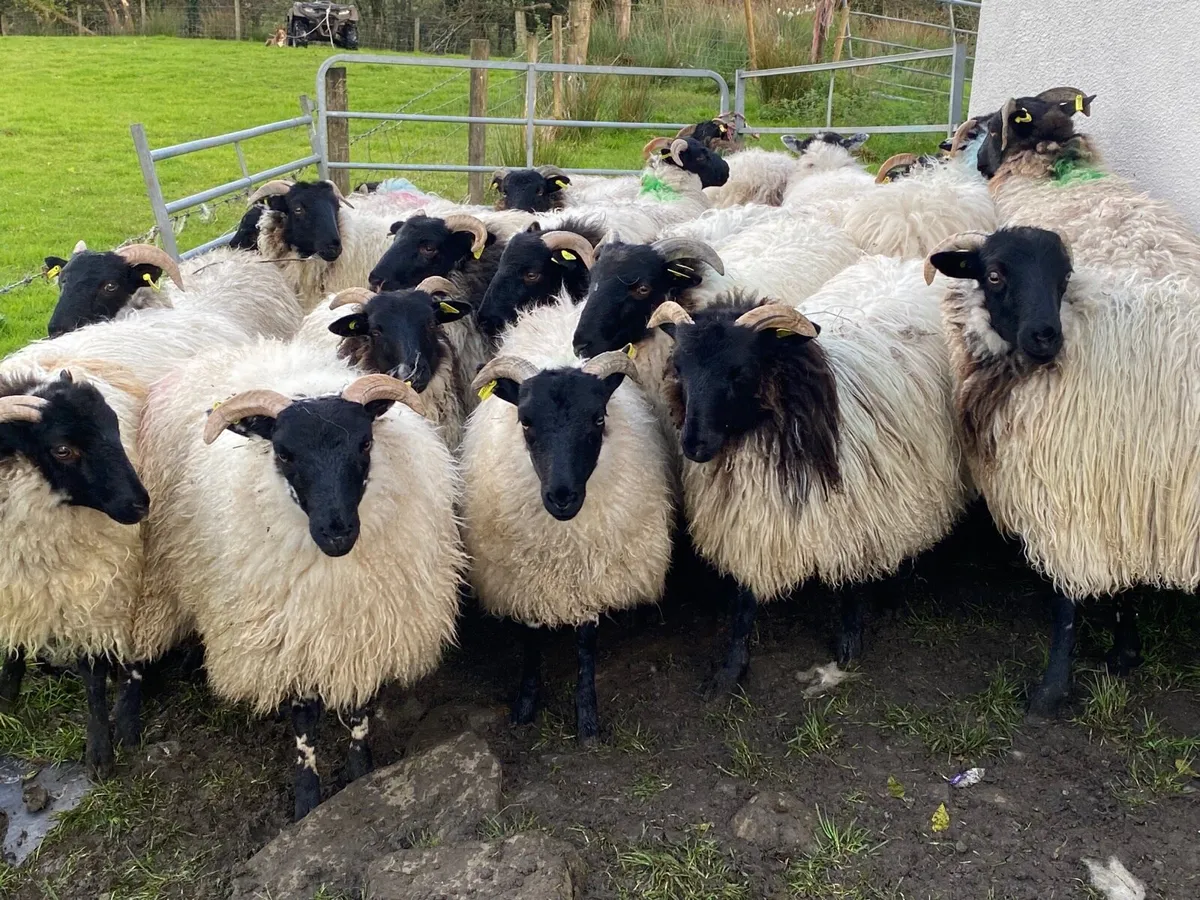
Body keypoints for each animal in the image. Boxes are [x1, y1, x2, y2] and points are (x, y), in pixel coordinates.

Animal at [0, 303, 270, 777]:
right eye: (63, 449)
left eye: (114, 427)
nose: (141, 504)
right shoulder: (17, 576)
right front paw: (7, 693)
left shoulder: (96, 584)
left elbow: (92, 672)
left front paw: (100, 751)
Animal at [138, 343, 465, 819]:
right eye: (285, 453)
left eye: (365, 442)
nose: (337, 532)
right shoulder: (290, 639)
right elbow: (305, 720)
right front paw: (307, 798)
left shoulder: (364, 631)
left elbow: (359, 708)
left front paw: (360, 772)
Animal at [460, 297, 673, 743]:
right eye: (525, 421)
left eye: (598, 419)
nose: (562, 497)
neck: (562, 544)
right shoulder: (522, 577)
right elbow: (530, 640)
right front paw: (525, 704)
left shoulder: (592, 576)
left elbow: (585, 644)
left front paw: (587, 718)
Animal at [646, 254, 967, 696]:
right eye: (679, 367)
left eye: (738, 371)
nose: (694, 444)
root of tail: (904, 262)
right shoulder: (750, 517)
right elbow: (744, 602)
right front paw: (730, 670)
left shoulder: (856, 510)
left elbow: (851, 583)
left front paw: (849, 645)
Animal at [926, 225, 1200, 716]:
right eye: (993, 274)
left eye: (1065, 275)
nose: (1045, 336)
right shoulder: (1119, 490)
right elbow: (1122, 586)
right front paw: (1125, 654)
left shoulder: (1073, 489)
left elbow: (1066, 601)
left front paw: (1050, 691)